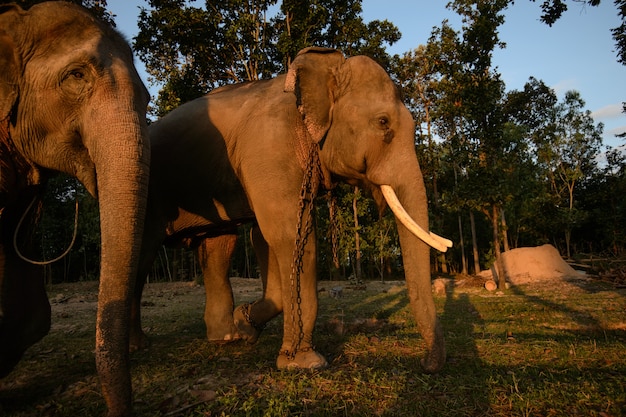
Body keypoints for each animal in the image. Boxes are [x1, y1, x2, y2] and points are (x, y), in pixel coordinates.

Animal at [133, 45, 448, 370]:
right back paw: (138, 345)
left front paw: (246, 326)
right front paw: (304, 362)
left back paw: (226, 338)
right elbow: (291, 237)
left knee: (219, 247)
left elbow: (265, 238)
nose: (427, 364)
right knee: (142, 251)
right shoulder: (271, 148)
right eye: (383, 122)